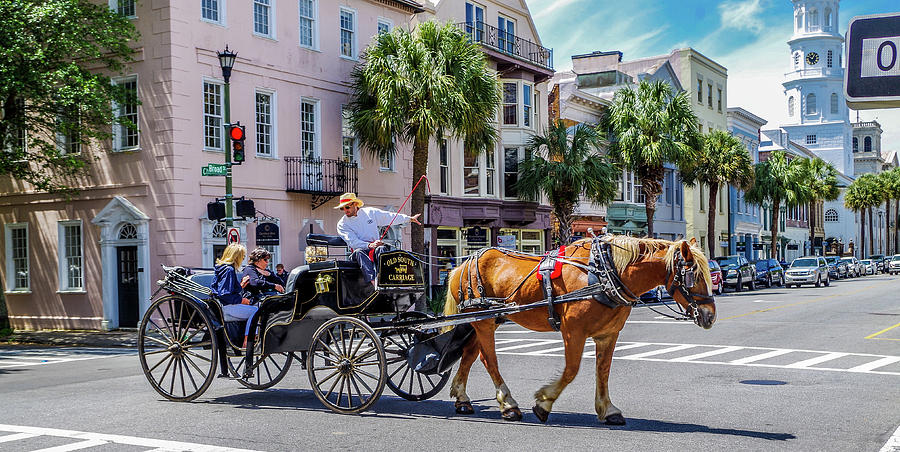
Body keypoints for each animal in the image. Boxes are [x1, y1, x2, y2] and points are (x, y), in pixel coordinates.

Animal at [442, 235, 716, 426]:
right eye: (692, 275)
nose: (710, 315)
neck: (606, 274)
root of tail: (460, 266)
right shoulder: (573, 331)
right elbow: (571, 371)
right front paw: (544, 403)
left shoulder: (608, 334)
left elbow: (603, 372)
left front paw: (608, 409)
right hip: (483, 321)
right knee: (489, 359)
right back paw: (508, 405)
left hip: (486, 319)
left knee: (469, 354)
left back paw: (462, 399)